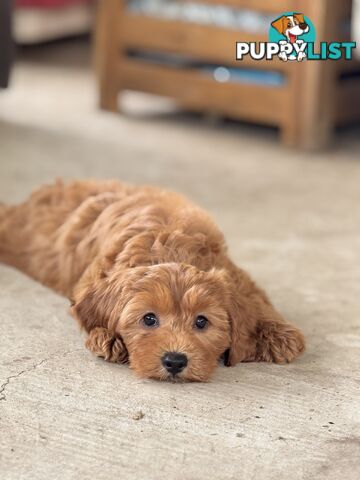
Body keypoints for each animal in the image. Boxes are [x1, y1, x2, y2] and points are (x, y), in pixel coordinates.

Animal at [0, 180, 304, 382]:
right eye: (149, 319)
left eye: (202, 321)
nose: (174, 361)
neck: (169, 244)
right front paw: (107, 337)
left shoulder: (237, 275)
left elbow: (257, 300)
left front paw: (278, 335)